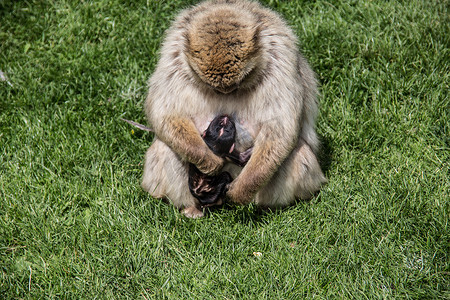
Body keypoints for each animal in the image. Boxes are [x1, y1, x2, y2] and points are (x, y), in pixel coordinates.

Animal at [142, 0, 326, 218]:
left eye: (238, 82)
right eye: (214, 86)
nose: (225, 91)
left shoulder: (280, 59)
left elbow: (281, 127)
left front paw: (242, 190)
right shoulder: (173, 57)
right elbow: (165, 113)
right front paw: (209, 160)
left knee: (299, 152)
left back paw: (266, 207)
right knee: (164, 147)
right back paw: (192, 207)